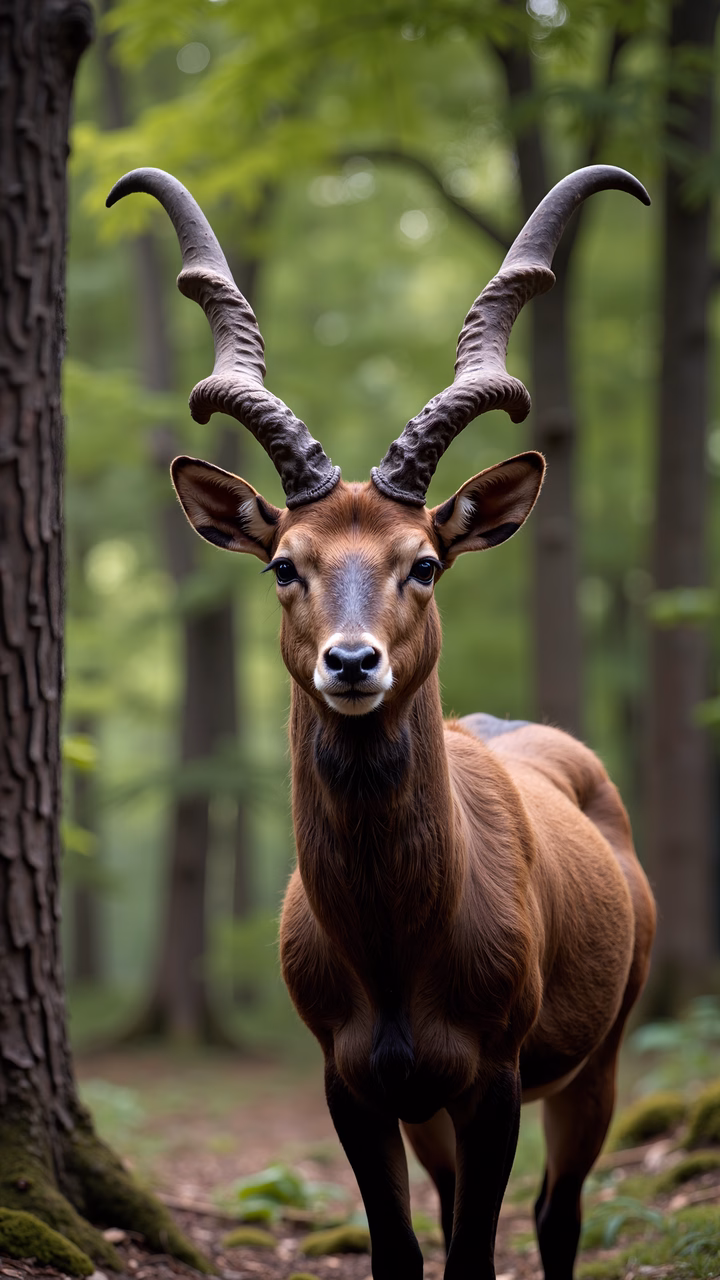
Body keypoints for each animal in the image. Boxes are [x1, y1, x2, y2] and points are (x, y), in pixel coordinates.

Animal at [109, 164, 656, 1280]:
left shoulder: (494, 1074)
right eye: (285, 562)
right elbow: (404, 1249)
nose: (352, 662)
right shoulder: (354, 1080)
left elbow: (479, 1253)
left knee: (560, 1212)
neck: (400, 951)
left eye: (426, 561)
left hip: (601, 1054)